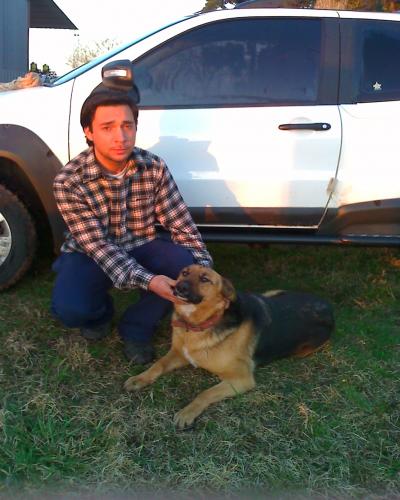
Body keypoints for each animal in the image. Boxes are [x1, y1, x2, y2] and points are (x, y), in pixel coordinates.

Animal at [124, 264, 334, 429]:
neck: (200, 324)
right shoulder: (179, 353)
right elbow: (157, 365)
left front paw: (187, 412)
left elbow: (205, 393)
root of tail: (328, 305)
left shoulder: (241, 379)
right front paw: (139, 378)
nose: (178, 287)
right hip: (271, 293)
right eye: (184, 273)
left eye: (205, 279)